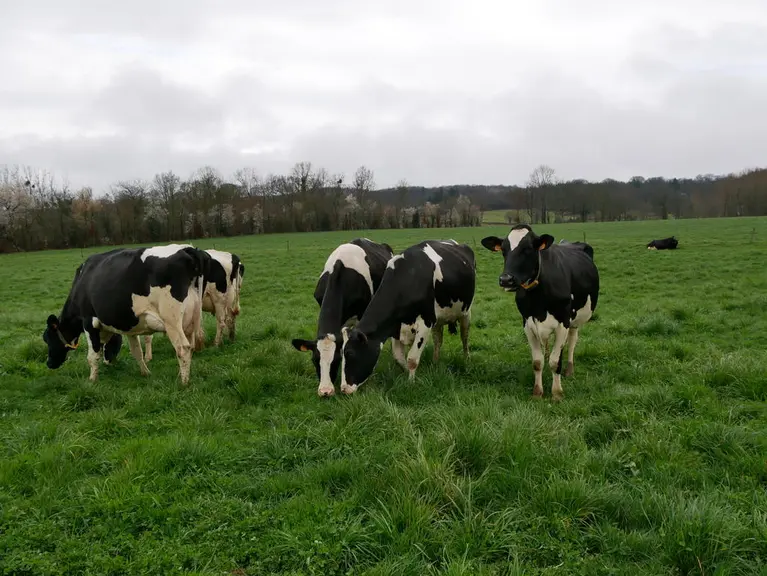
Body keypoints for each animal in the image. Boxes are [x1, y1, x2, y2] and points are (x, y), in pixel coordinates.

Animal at [42, 244, 207, 385]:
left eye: (48, 338)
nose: (49, 363)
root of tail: (186, 249)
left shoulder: (89, 322)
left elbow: (92, 356)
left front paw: (92, 380)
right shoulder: (130, 327)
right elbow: (137, 352)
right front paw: (145, 373)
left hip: (171, 320)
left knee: (183, 349)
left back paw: (183, 383)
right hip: (190, 320)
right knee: (191, 347)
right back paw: (182, 375)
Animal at [340, 239, 476, 395]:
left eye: (350, 353)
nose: (344, 389)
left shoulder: (425, 323)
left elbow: (412, 358)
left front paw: (411, 383)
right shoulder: (395, 327)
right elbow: (398, 357)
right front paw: (406, 374)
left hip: (466, 313)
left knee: (464, 337)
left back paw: (467, 359)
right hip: (439, 319)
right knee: (438, 340)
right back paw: (435, 362)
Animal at [481, 224, 599, 401]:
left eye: (528, 249)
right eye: (503, 250)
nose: (506, 280)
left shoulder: (563, 323)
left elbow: (555, 362)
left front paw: (557, 393)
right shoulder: (528, 323)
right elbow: (537, 362)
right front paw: (537, 392)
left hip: (575, 320)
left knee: (572, 342)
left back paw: (569, 369)